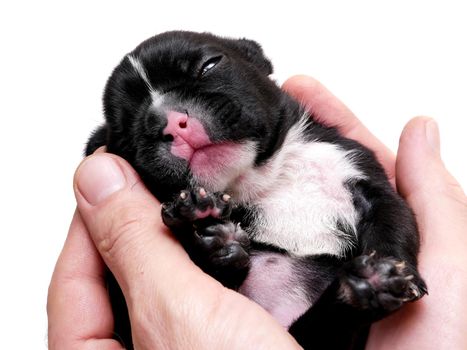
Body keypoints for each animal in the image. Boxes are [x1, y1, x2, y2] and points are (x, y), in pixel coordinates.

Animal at [87, 31, 428, 348]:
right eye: (127, 136)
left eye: (209, 65)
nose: (171, 122)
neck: (264, 176)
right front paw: (198, 221)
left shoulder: (362, 177)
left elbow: (393, 222)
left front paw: (397, 270)